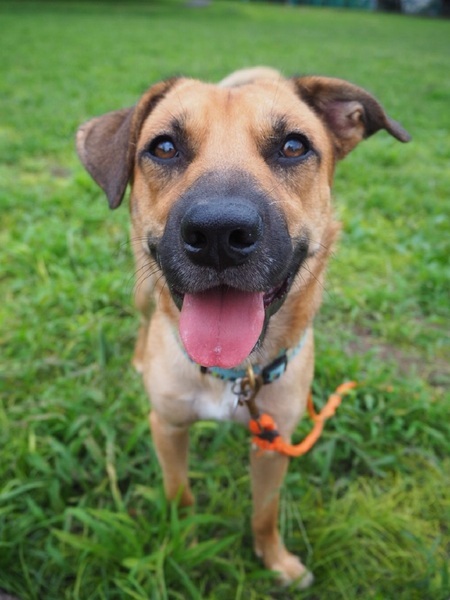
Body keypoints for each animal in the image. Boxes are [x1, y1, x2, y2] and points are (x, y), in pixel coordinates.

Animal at [76, 67, 410, 588]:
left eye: (293, 146)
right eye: (164, 147)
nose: (218, 234)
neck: (235, 374)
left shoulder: (274, 443)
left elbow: (264, 514)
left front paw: (276, 561)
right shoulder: (167, 426)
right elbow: (180, 495)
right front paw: (187, 544)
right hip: (141, 287)